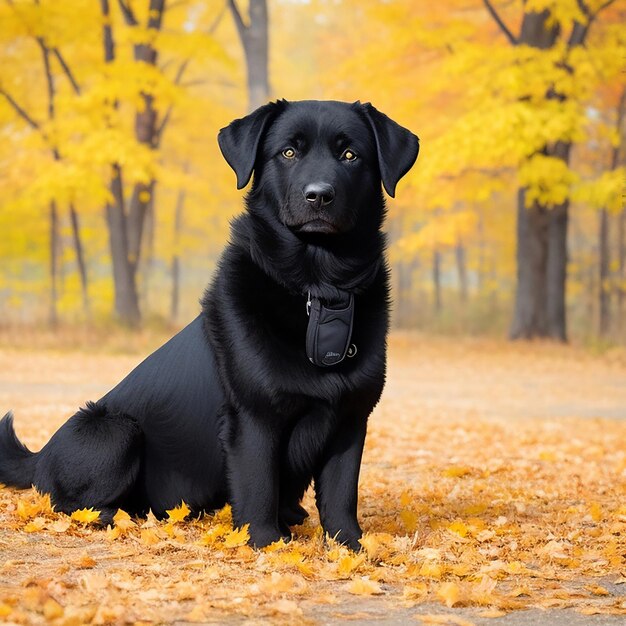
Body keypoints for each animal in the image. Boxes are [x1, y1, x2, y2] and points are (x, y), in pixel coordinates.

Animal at [2, 98, 420, 544]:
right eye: (289, 152)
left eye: (350, 155)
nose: (319, 195)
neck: (319, 289)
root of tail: (40, 456)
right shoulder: (253, 418)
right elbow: (258, 488)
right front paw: (265, 544)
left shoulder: (350, 418)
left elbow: (341, 496)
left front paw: (352, 546)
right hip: (113, 431)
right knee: (66, 503)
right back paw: (118, 516)